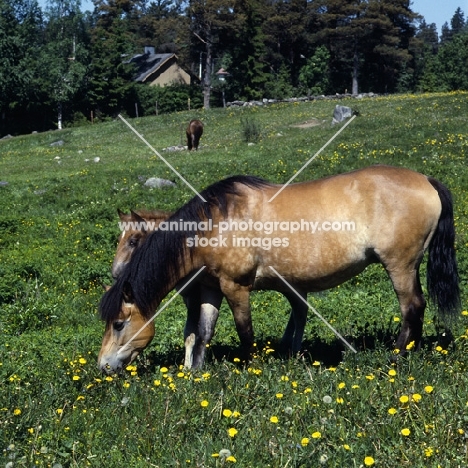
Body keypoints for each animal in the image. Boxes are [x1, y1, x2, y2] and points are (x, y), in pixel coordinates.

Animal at [111, 209, 310, 370]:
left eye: (133, 241)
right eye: (119, 239)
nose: (115, 273)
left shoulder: (195, 296)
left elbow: (191, 331)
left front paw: (187, 367)